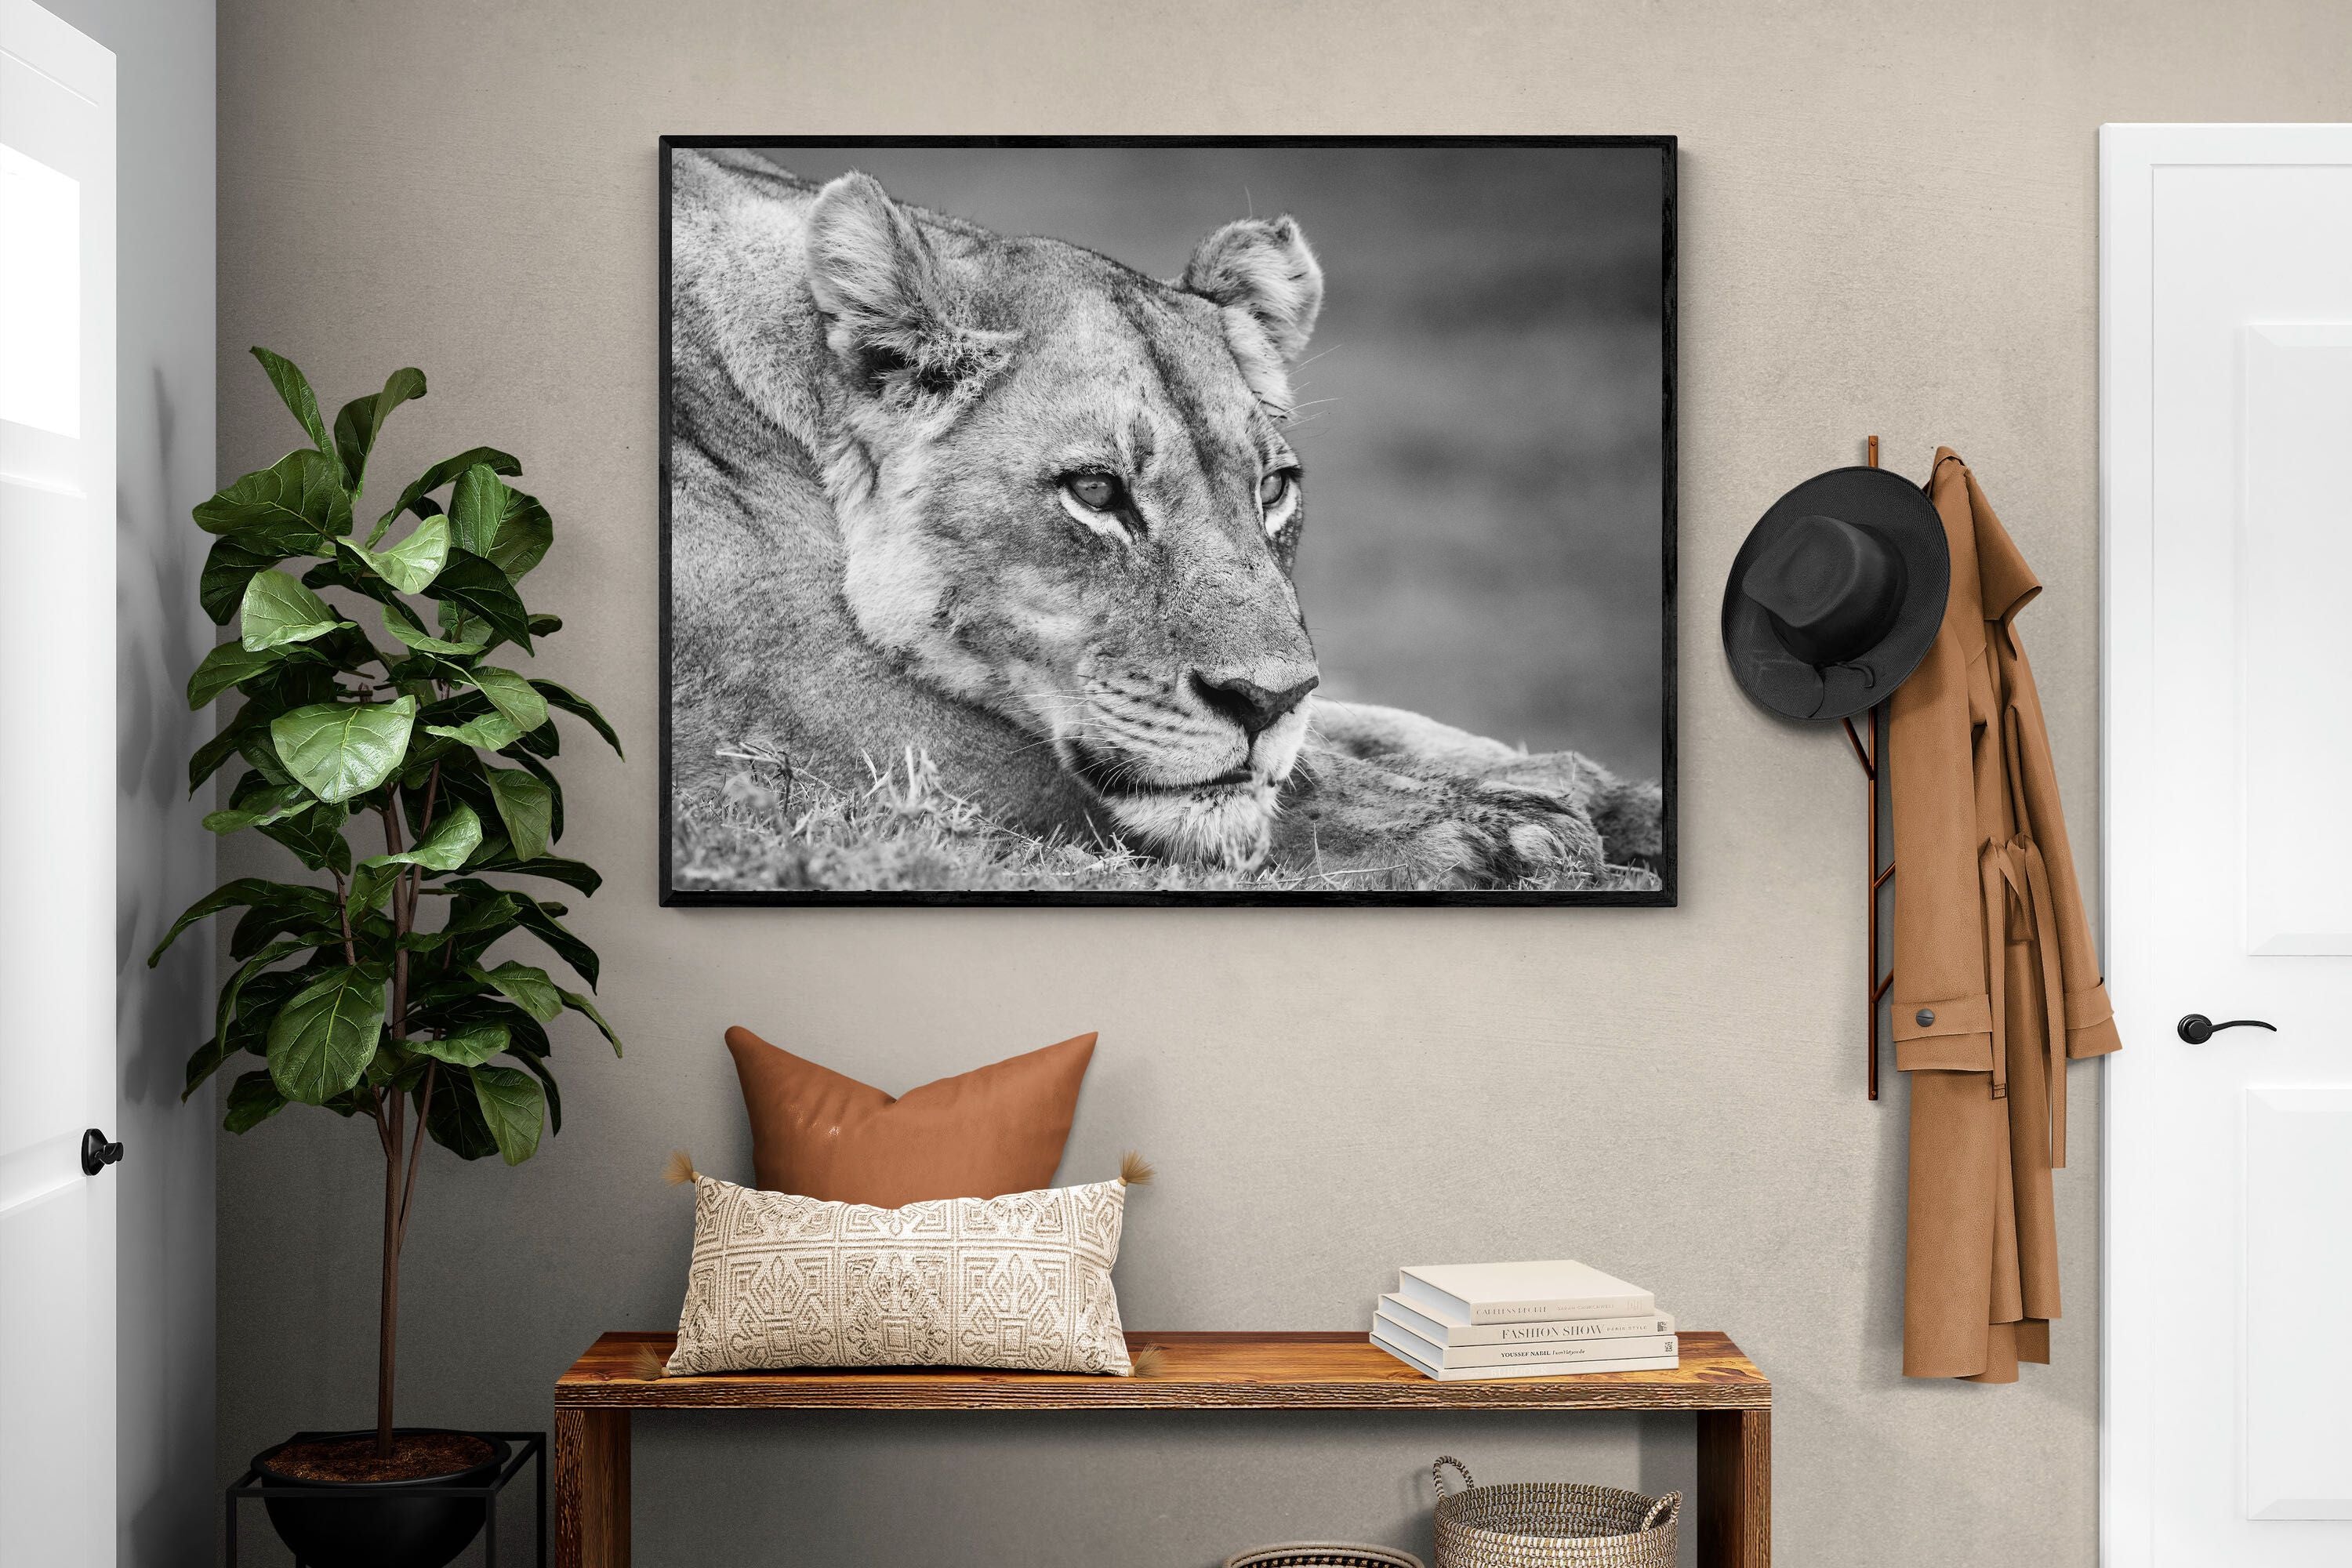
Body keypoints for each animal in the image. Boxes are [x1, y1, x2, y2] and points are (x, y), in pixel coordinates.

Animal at [667, 148, 1661, 889]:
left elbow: (1361, 725)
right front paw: (1504, 833)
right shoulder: (819, 723)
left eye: (1274, 488)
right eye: (1096, 491)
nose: (1263, 703)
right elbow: (1284, 783)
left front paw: (1606, 797)